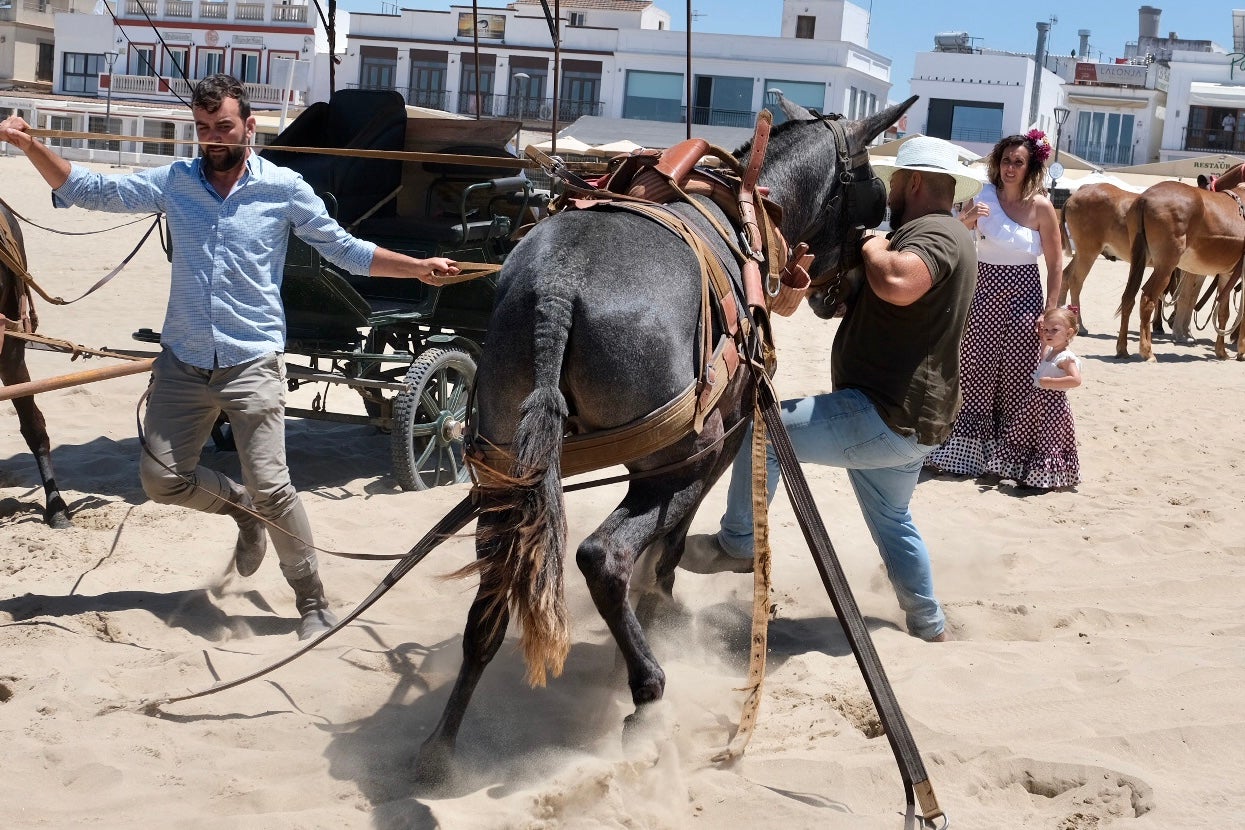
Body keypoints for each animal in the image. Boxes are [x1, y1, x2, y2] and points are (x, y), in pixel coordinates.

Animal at [1120, 180, 1245, 360]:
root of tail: (1145, 198)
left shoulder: (1227, 275)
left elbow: (1223, 313)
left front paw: (1221, 351)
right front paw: (1241, 349)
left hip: (1139, 260)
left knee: (1128, 297)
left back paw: (1122, 349)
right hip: (1165, 267)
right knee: (1148, 299)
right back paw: (1147, 351)